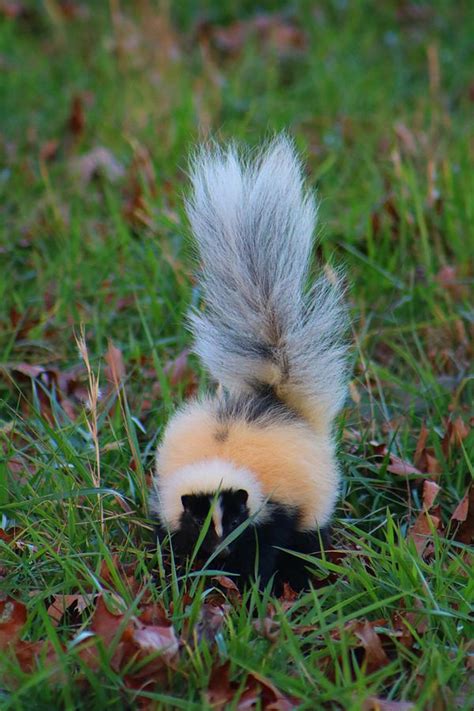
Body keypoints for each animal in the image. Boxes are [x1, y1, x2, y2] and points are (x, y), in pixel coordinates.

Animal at [152, 136, 348, 592]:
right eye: (200, 523)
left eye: (236, 518)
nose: (220, 550)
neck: (221, 460)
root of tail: (271, 398)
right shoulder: (172, 508)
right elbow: (171, 542)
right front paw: (183, 576)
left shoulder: (276, 507)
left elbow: (268, 545)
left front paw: (255, 585)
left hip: (313, 497)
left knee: (310, 534)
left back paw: (305, 574)